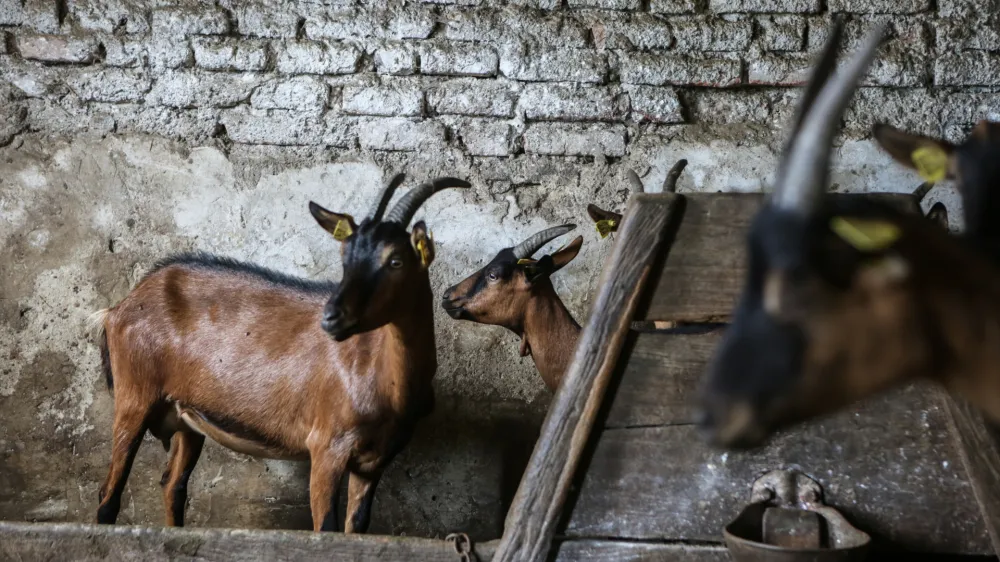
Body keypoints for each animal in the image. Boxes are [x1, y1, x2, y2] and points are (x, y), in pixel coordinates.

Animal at [89, 174, 468, 528]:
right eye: (345, 256)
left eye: (395, 261)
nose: (331, 317)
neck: (381, 375)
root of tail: (120, 307)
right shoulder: (326, 448)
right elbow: (325, 527)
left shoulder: (373, 463)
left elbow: (356, 527)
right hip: (134, 396)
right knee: (109, 493)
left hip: (187, 418)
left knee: (173, 486)